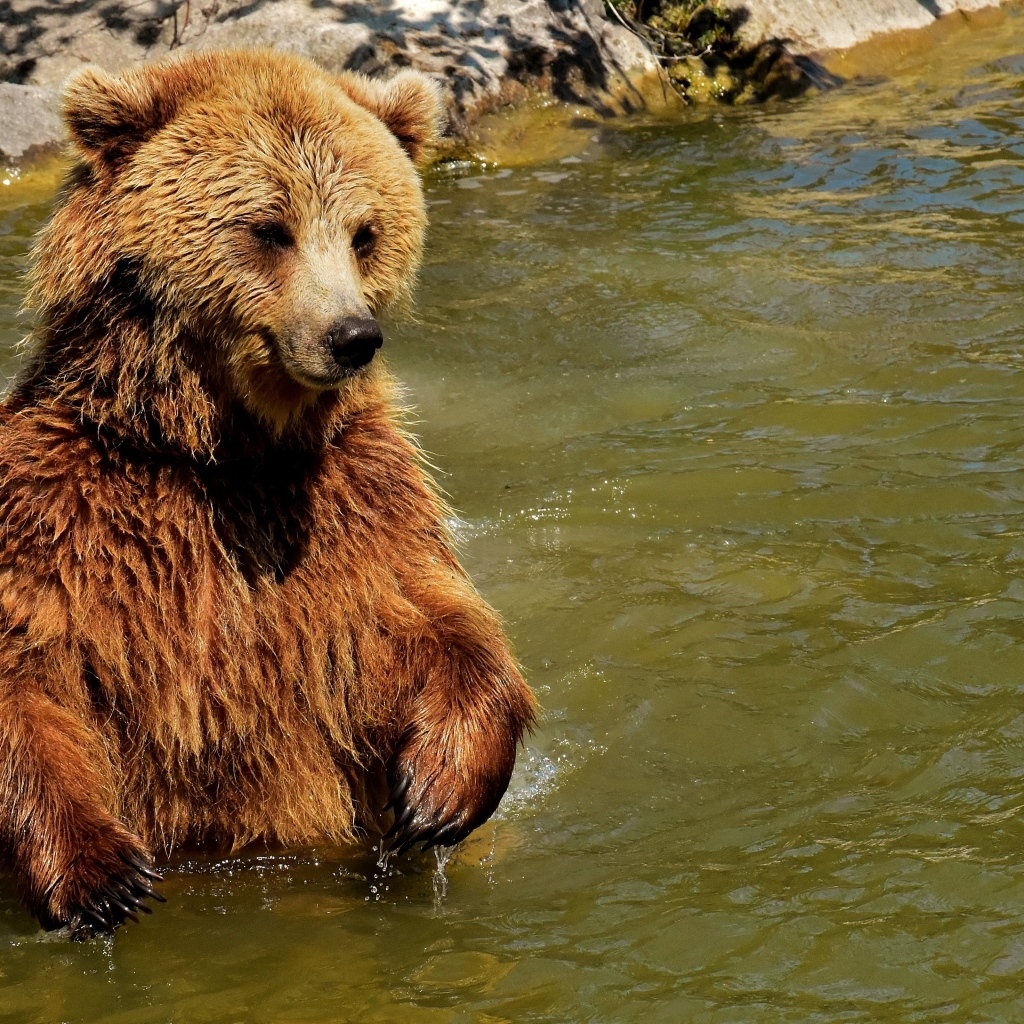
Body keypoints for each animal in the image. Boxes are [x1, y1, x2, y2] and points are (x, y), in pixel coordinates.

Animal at [0, 48, 536, 939]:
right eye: (268, 228)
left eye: (365, 232)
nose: (351, 336)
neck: (222, 453)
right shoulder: (61, 511)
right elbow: (27, 667)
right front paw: (100, 878)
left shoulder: (356, 502)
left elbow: (431, 618)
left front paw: (437, 789)